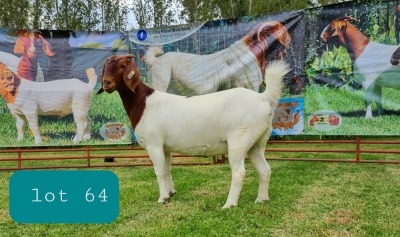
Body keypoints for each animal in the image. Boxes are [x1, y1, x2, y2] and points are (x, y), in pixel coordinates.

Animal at [98, 53, 290, 207]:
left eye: (122, 66)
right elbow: (167, 170)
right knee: (265, 170)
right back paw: (261, 199)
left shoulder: (154, 144)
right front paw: (171, 193)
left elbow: (159, 171)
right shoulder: (165, 147)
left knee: (239, 172)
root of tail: (263, 98)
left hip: (239, 138)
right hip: (257, 142)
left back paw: (229, 204)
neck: (143, 102)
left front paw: (162, 198)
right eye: (105, 67)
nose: (106, 83)